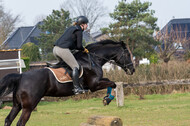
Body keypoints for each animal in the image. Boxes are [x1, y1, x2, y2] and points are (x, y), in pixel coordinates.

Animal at [0, 39, 135, 126]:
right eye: (128, 54)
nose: (132, 70)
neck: (93, 59)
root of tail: (21, 76)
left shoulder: (97, 82)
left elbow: (110, 82)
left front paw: (106, 99)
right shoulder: (94, 85)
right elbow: (112, 83)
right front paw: (108, 99)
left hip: (17, 105)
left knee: (8, 120)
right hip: (28, 107)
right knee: (20, 123)